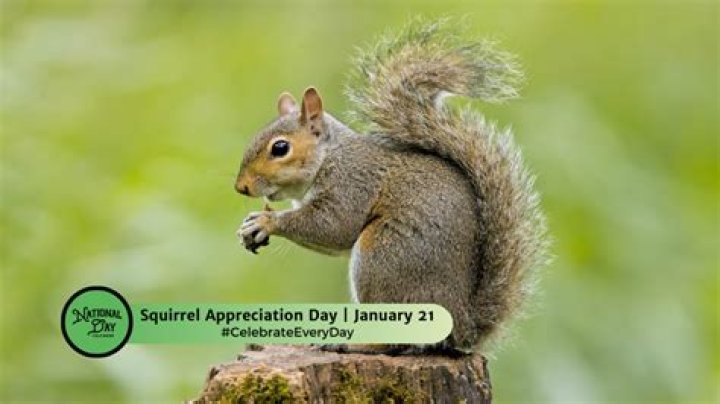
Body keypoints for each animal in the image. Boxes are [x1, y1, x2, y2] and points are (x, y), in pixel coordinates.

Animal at [235, 20, 548, 355]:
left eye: (280, 148)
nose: (240, 187)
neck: (330, 157)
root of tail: (460, 327)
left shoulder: (353, 183)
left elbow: (334, 227)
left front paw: (266, 221)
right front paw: (250, 226)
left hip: (383, 258)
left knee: (393, 340)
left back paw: (354, 344)